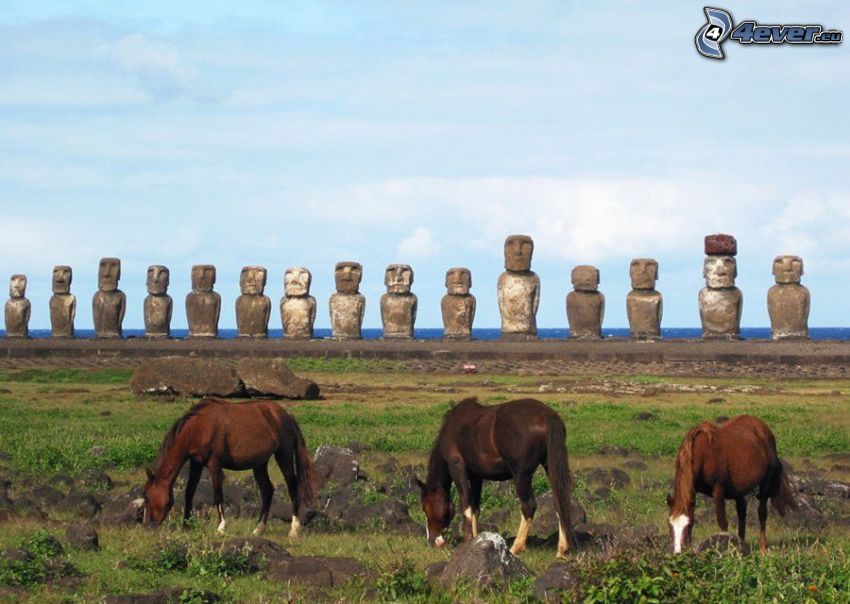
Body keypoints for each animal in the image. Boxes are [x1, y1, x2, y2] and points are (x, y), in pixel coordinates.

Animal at [142, 398, 314, 536]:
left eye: (147, 497)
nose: (147, 525)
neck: (198, 428)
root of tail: (286, 416)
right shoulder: (196, 463)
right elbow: (189, 492)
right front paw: (186, 525)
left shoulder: (214, 463)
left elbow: (218, 495)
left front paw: (221, 527)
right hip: (260, 464)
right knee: (267, 491)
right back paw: (258, 529)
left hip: (283, 455)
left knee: (292, 487)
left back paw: (294, 529)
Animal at [418, 398, 576, 560]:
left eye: (424, 507)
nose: (432, 541)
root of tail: (546, 414)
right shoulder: (476, 475)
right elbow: (475, 507)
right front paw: (475, 540)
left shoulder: (457, 466)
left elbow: (466, 505)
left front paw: (468, 540)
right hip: (549, 466)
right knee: (559, 501)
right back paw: (562, 549)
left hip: (521, 476)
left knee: (528, 506)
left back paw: (514, 549)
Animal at [664, 416, 800, 552]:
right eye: (670, 525)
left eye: (688, 525)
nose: (678, 552)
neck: (702, 453)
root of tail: (764, 428)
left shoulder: (718, 490)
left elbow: (722, 522)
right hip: (738, 489)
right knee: (742, 511)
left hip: (765, 481)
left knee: (762, 512)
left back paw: (763, 548)